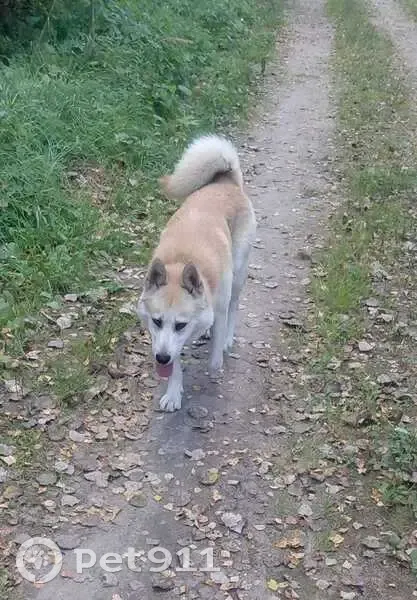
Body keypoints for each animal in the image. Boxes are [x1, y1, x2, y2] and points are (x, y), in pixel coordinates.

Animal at [137, 135, 256, 411]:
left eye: (181, 324)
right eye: (157, 321)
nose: (161, 358)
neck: (182, 261)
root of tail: (225, 182)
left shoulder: (216, 310)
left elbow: (214, 356)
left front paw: (215, 363)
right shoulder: (167, 343)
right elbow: (176, 366)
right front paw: (173, 393)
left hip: (238, 275)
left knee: (234, 306)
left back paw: (225, 338)